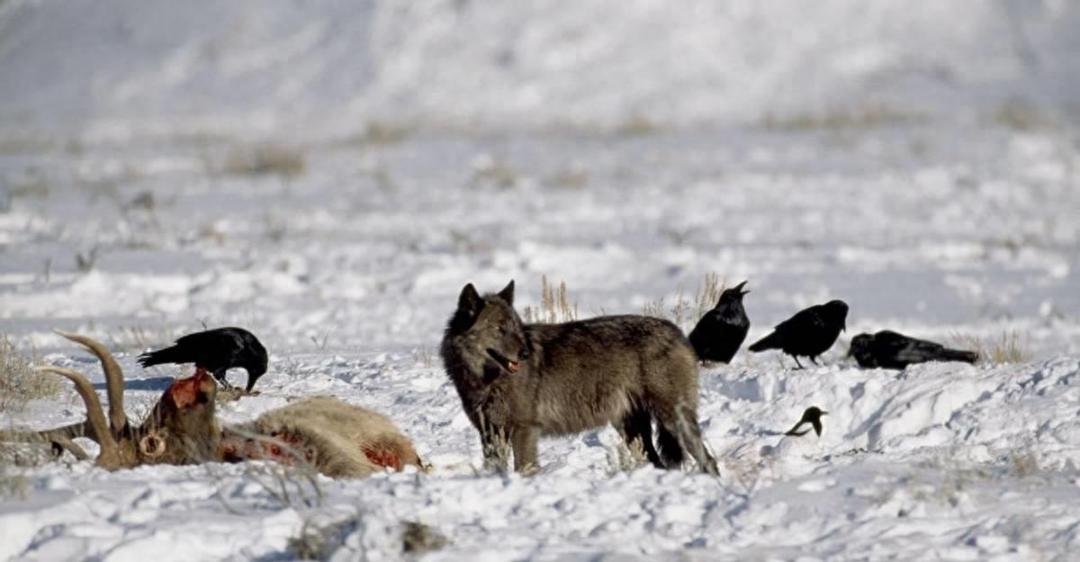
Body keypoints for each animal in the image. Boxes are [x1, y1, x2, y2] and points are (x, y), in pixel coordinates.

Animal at [440, 280, 718, 475]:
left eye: (515, 327)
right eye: (498, 328)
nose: (526, 353)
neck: (486, 381)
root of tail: (678, 332)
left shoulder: (524, 430)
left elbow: (523, 470)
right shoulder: (489, 435)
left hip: (673, 421)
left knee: (708, 461)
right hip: (632, 431)